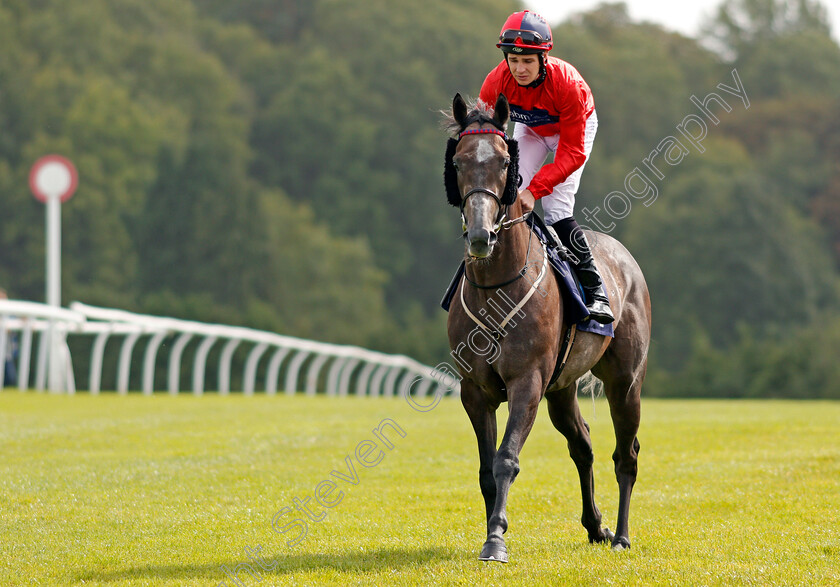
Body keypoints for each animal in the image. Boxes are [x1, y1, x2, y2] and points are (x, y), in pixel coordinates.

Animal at [442, 94, 652, 564]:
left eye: (504, 162)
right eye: (459, 161)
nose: (481, 236)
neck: (496, 286)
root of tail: (626, 257)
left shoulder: (528, 381)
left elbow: (506, 458)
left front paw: (496, 539)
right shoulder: (475, 390)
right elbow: (486, 468)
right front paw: (491, 530)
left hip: (625, 381)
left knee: (625, 454)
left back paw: (623, 535)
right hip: (562, 388)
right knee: (583, 445)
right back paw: (596, 526)